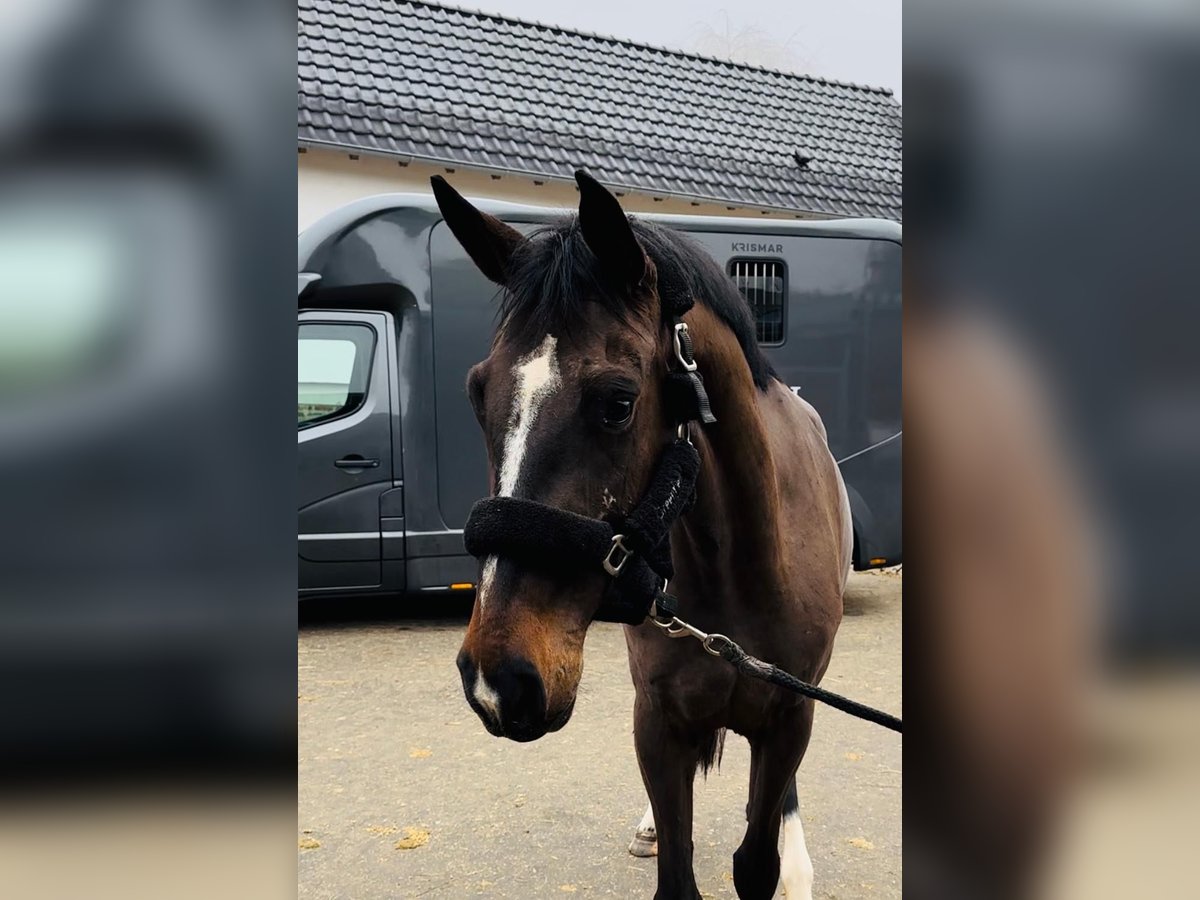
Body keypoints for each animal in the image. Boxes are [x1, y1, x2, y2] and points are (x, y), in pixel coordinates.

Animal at [432, 170, 854, 900]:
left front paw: (785, 861)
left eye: (619, 403)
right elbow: (676, 873)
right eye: (477, 393)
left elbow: (757, 860)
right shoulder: (658, 722)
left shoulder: (787, 719)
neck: (739, 570)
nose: (500, 679)